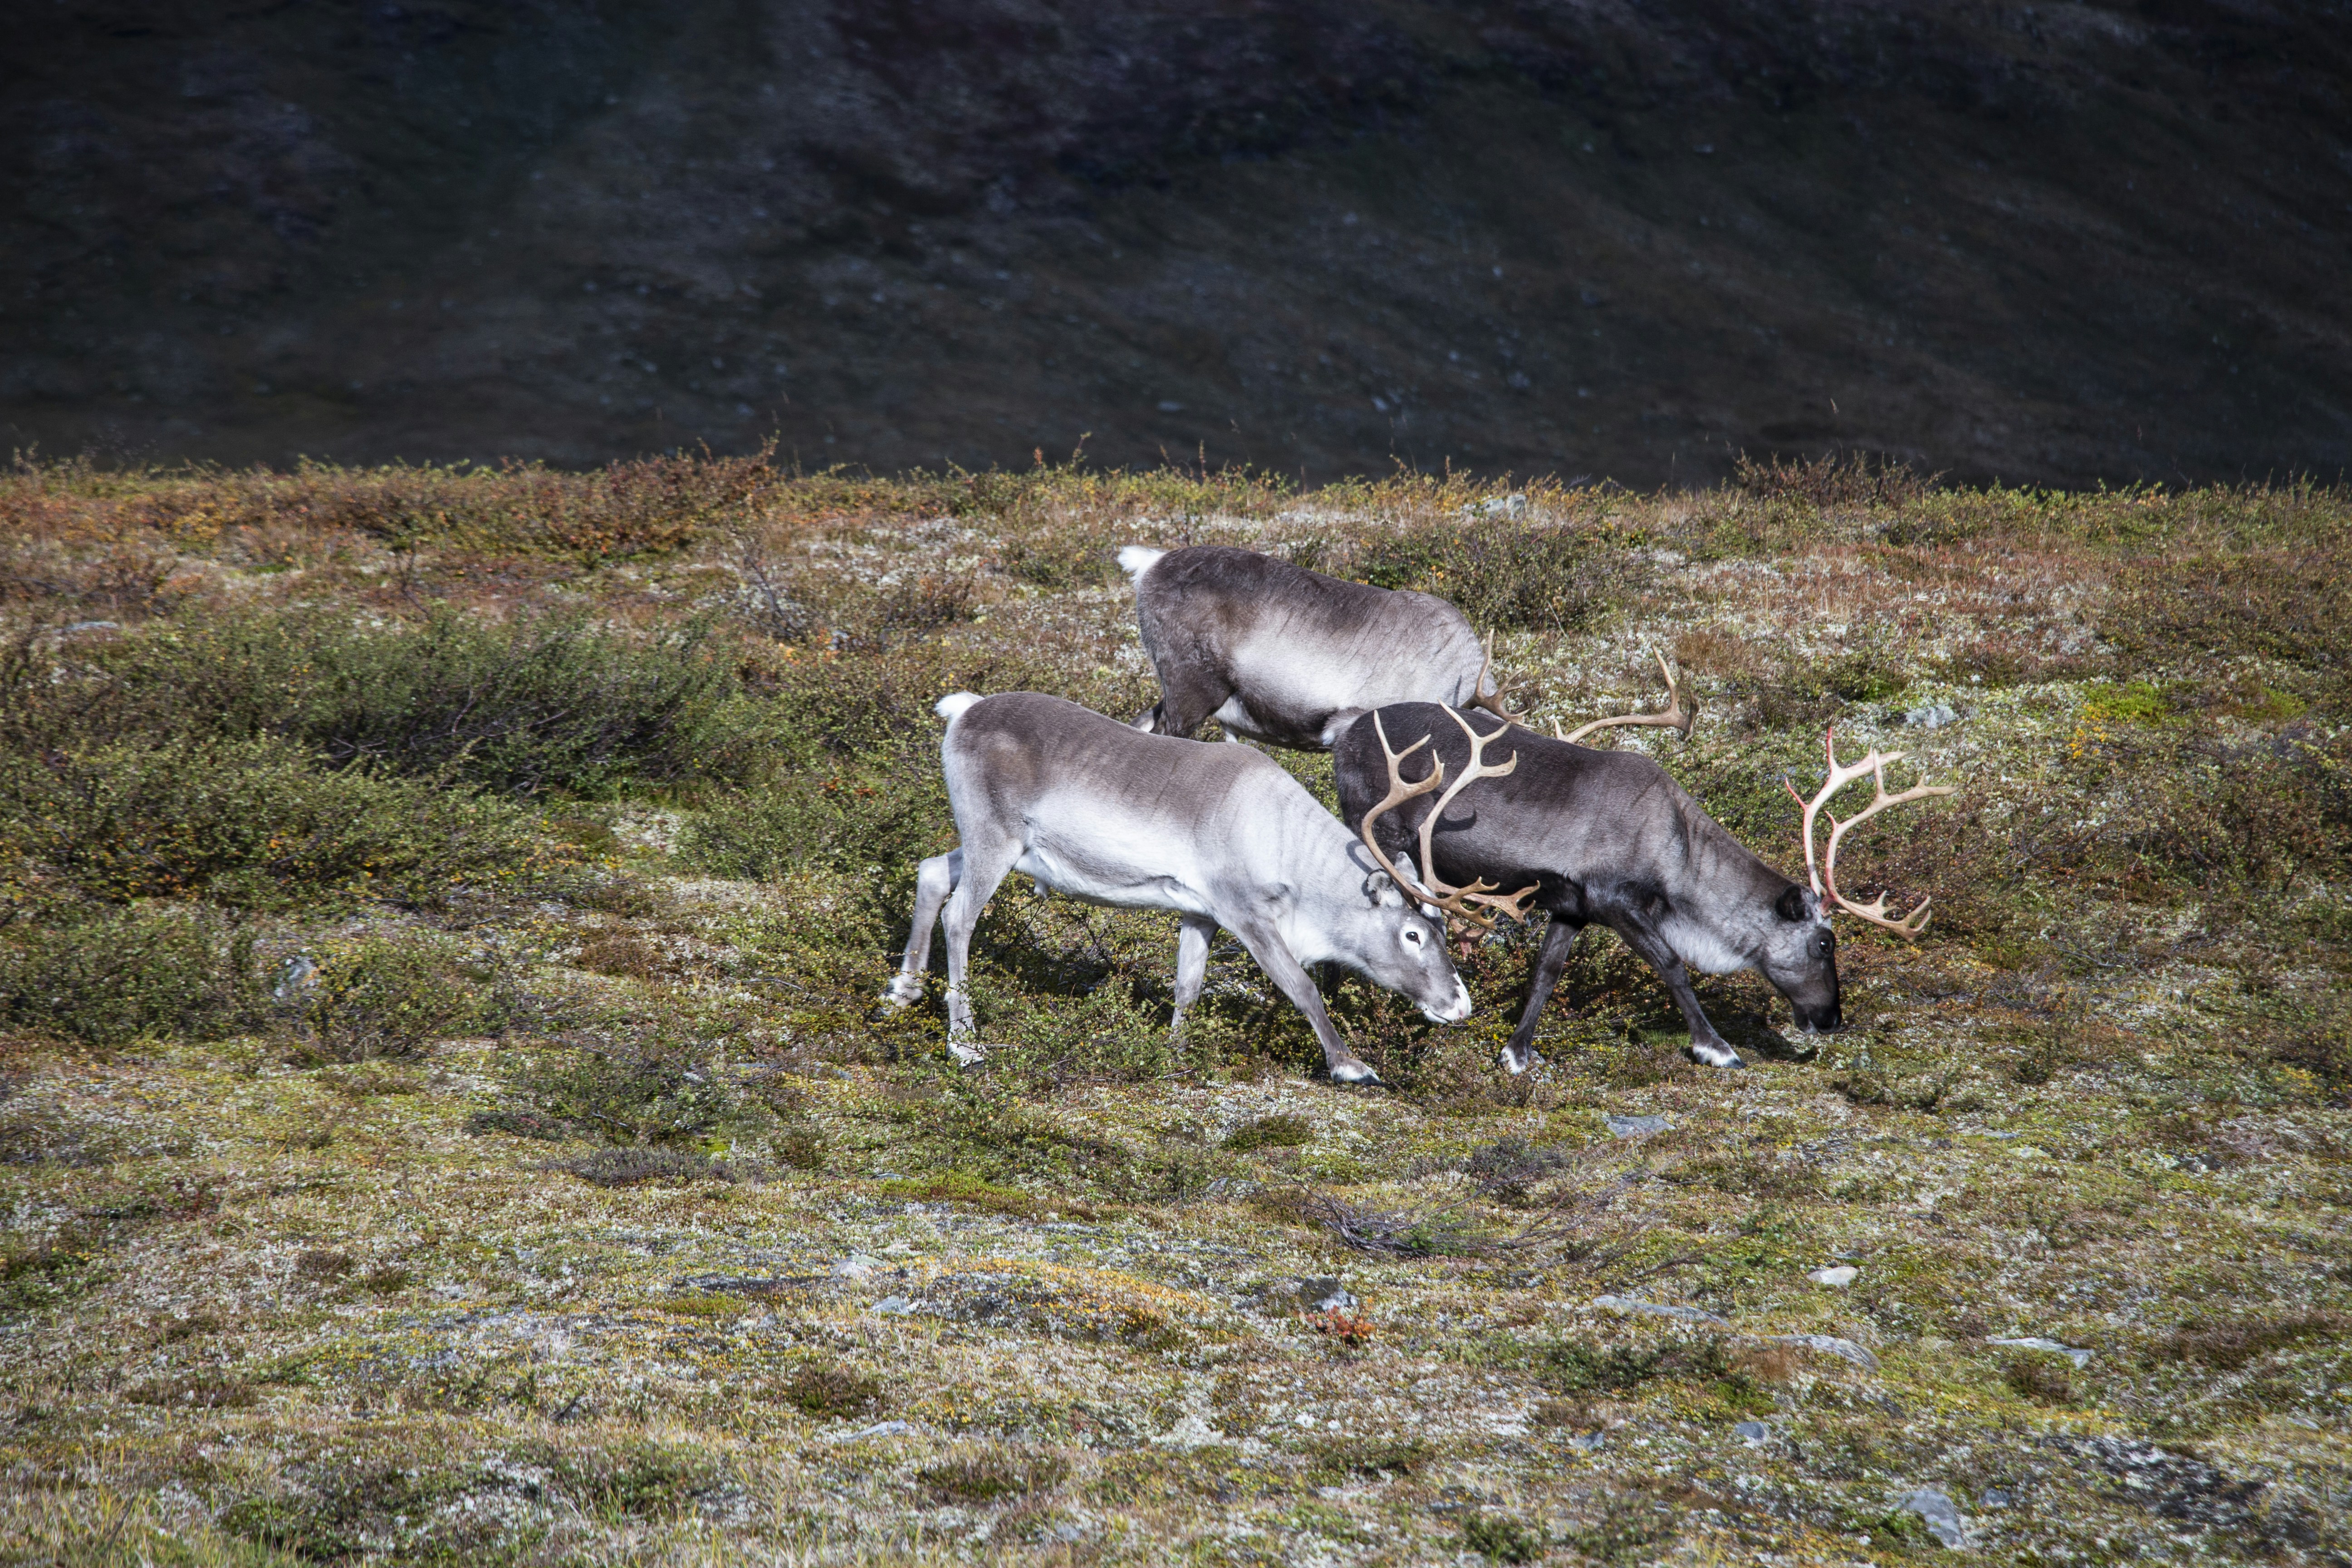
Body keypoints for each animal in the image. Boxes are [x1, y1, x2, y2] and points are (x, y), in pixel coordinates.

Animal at [886, 691, 1496, 1085]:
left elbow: (1188, 986)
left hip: (998, 846)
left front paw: (1172, 1053)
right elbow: (1301, 986)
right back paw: (964, 1043)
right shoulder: (1245, 911)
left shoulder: (1199, 913)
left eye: (1443, 932)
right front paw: (1350, 1065)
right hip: (996, 837)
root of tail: (962, 711)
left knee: (931, 870)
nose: (1460, 1006)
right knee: (960, 916)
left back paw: (903, 992)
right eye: (1414, 934)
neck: (1284, 841)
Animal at [1332, 676, 1954, 1071]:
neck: (1676, 849)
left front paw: (1517, 1052)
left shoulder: (1572, 906)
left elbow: (1546, 972)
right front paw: (1715, 1047)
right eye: (1825, 943)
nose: (1831, 1018)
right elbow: (1673, 966)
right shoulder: (1616, 901)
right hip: (1376, 831)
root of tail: (1347, 735)